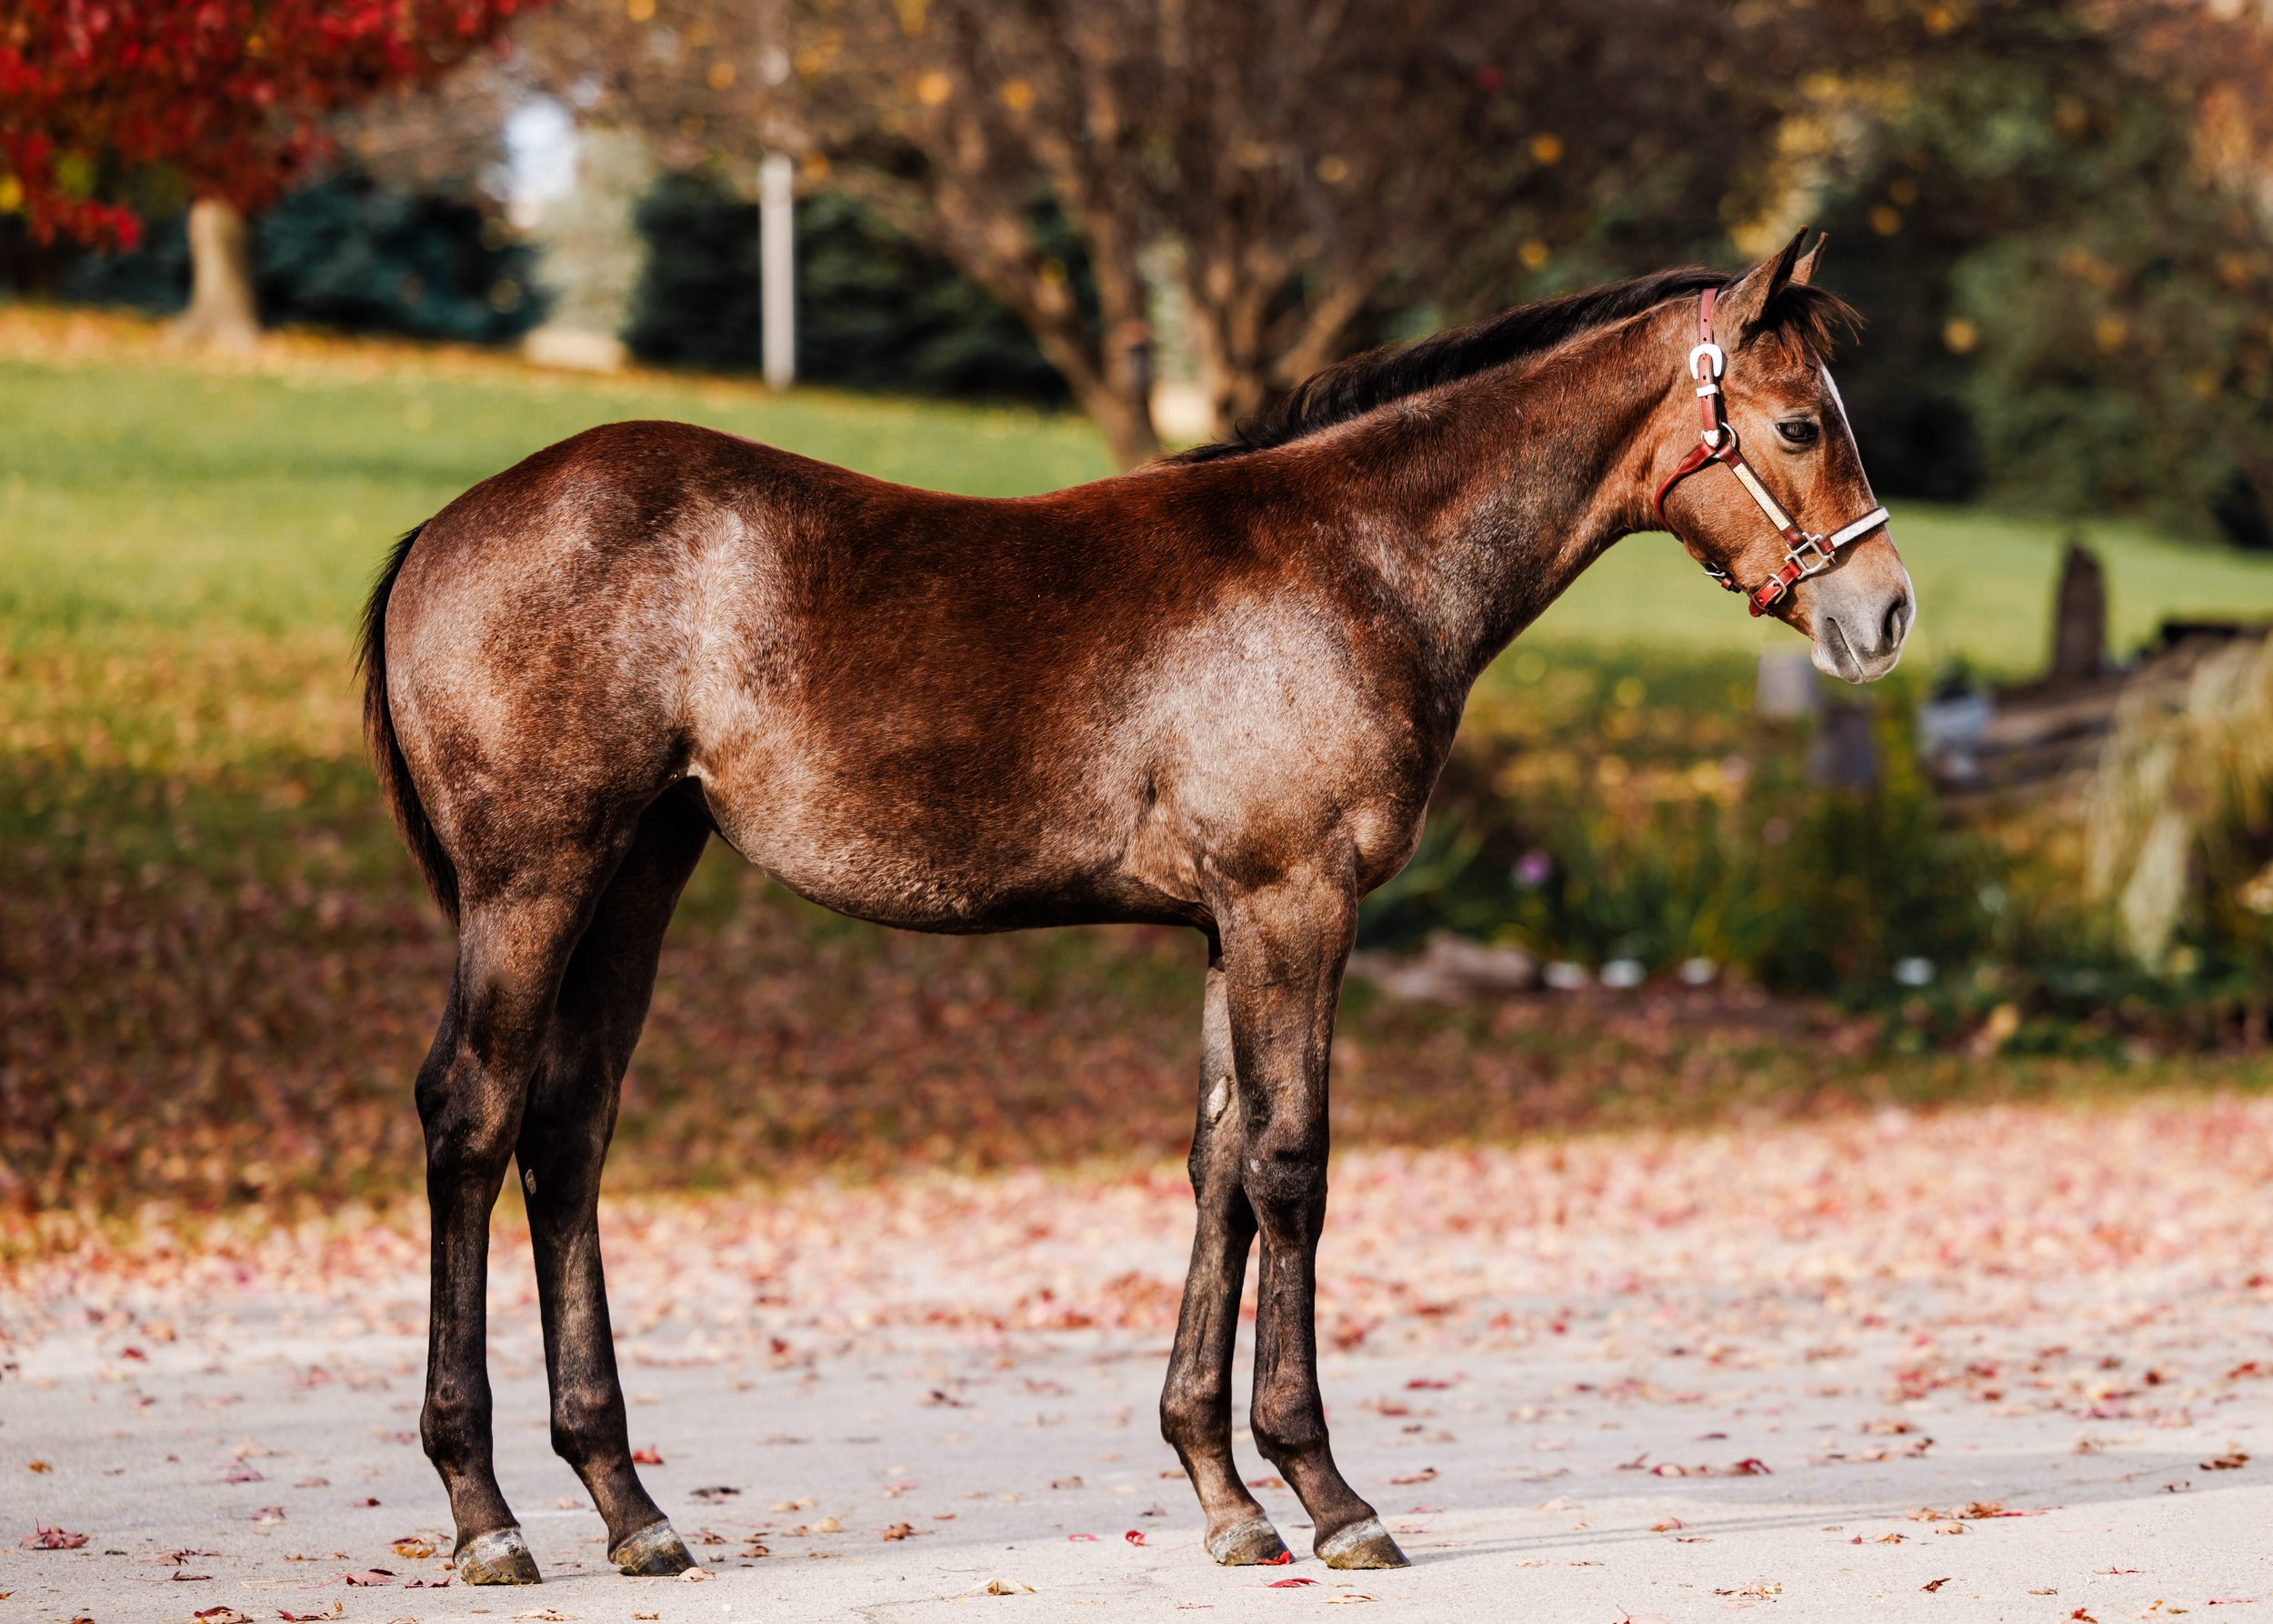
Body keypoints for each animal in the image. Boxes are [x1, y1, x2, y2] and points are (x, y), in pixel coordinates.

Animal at [358, 230, 1911, 1584]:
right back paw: (484, 1512)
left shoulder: (1232, 926)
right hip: (535, 877)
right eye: (1796, 427)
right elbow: (1291, 1169)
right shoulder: (1296, 906)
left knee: (569, 1132)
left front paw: (1225, 1495)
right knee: (472, 1115)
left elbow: (1218, 1167)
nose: (1885, 615)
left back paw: (629, 1505)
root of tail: (445, 523)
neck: (1360, 557)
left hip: (637, 872)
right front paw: (1329, 1490)